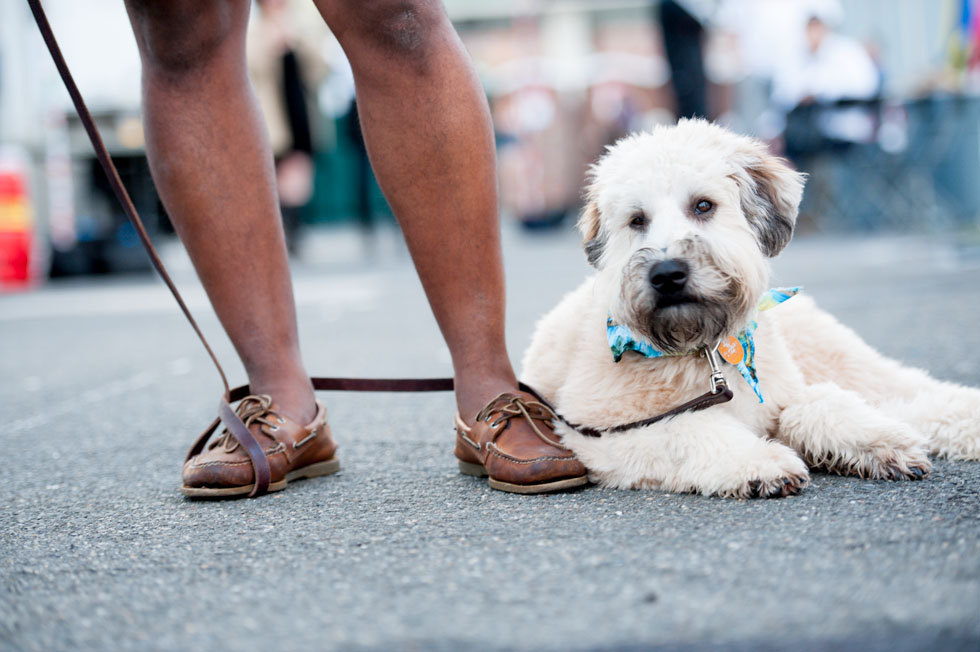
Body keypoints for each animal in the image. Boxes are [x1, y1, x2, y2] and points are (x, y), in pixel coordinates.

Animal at [520, 119, 980, 496]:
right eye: (637, 220)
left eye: (703, 205)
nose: (667, 274)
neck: (706, 352)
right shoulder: (599, 433)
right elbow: (691, 429)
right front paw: (760, 463)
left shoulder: (782, 391)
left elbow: (815, 404)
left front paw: (875, 441)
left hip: (839, 358)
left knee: (905, 392)